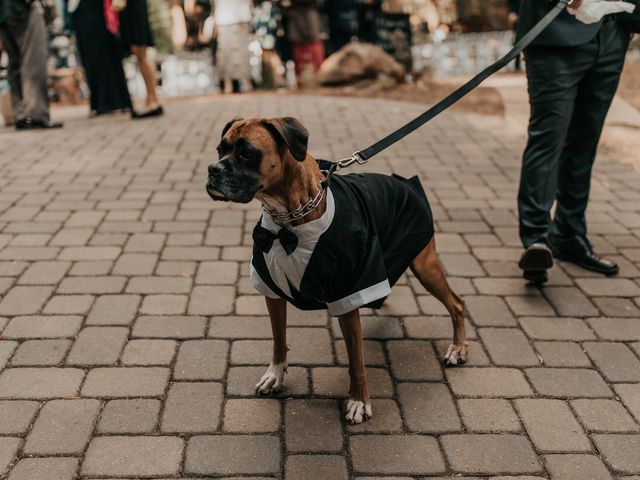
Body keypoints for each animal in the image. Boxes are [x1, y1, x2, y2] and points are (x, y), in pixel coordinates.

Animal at [208, 116, 468, 424]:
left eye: (247, 153)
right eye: (220, 149)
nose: (213, 170)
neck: (289, 221)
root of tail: (403, 182)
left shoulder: (348, 295)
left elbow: (356, 360)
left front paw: (359, 401)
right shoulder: (271, 289)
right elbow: (278, 340)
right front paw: (275, 375)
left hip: (424, 264)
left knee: (457, 303)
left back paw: (458, 348)